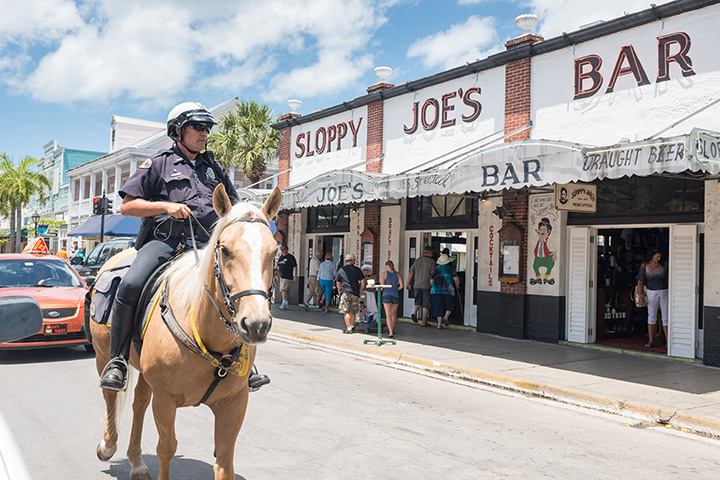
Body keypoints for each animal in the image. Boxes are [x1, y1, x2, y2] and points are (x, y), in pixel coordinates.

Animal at [90, 185, 282, 480]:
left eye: (274, 252)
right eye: (225, 250)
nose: (256, 324)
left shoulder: (234, 403)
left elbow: (224, 460)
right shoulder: (165, 400)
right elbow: (167, 447)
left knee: (139, 402)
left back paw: (136, 461)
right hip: (103, 354)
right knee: (111, 394)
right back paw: (107, 445)